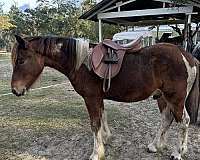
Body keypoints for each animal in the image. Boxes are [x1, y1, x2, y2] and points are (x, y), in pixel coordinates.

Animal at [11, 35, 198, 160]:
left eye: (20, 60)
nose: (15, 90)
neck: (81, 63)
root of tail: (187, 56)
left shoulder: (90, 98)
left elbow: (95, 124)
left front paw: (96, 153)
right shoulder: (98, 97)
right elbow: (102, 117)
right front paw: (106, 139)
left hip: (175, 99)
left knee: (184, 121)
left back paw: (178, 152)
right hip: (163, 98)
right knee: (166, 119)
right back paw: (155, 146)